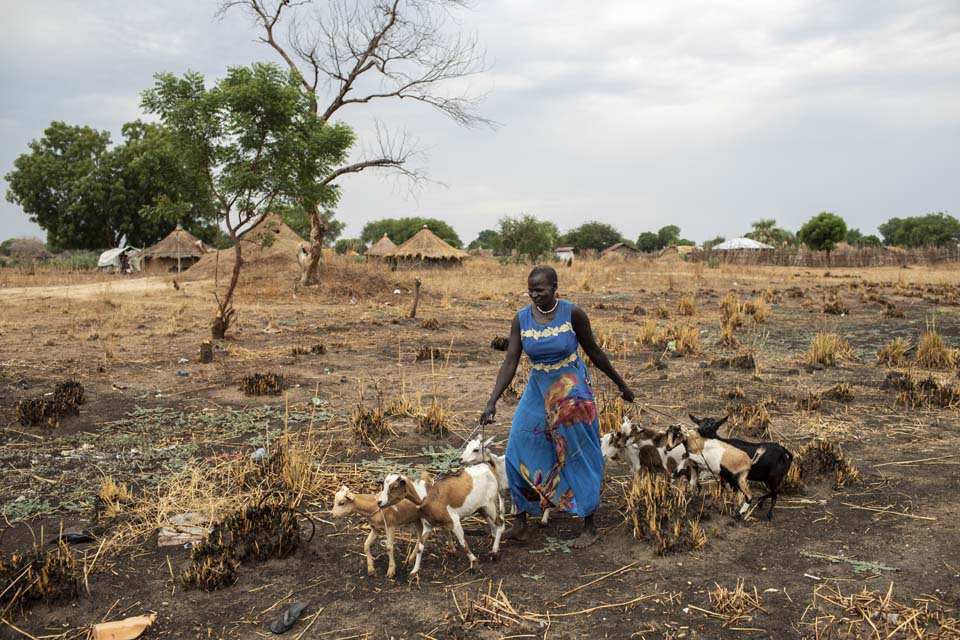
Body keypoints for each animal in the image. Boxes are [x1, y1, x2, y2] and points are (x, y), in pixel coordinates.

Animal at [378, 460, 506, 576]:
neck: (427, 496)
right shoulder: (428, 525)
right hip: (480, 507)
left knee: (499, 523)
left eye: (394, 487)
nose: (379, 502)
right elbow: (420, 547)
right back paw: (493, 538)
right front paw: (414, 572)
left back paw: (494, 552)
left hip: (490, 504)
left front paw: (474, 564)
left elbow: (462, 543)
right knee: (492, 522)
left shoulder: (454, 521)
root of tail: (489, 468)